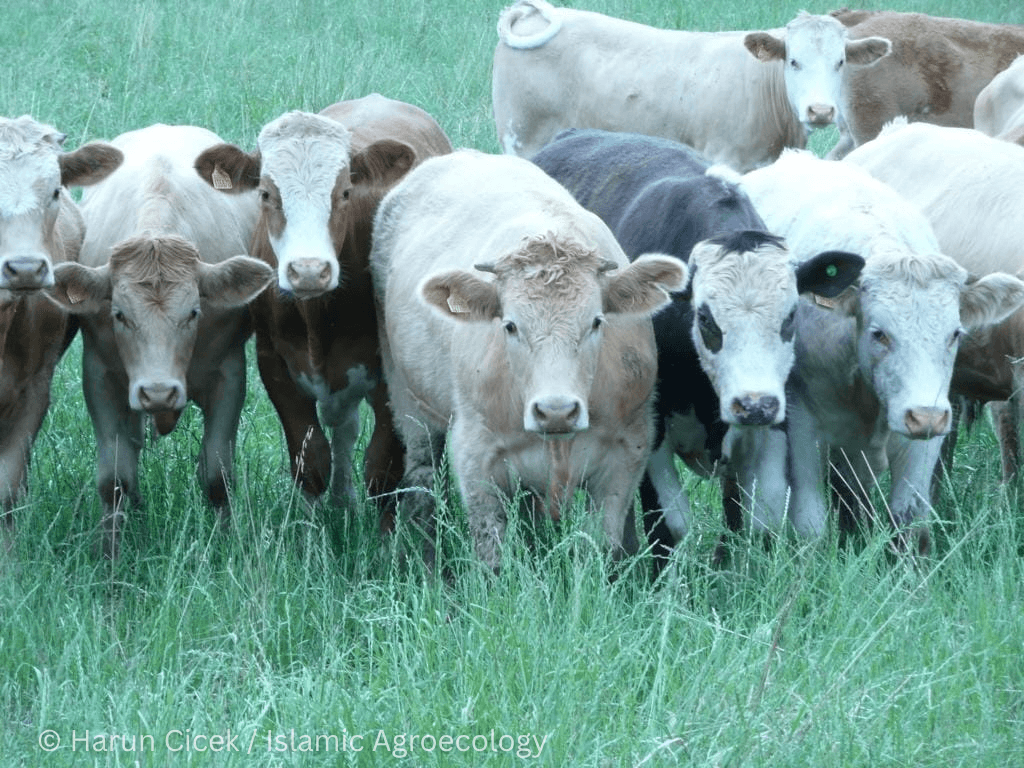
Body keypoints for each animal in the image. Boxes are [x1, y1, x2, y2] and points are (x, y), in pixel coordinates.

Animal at [48, 124, 273, 558]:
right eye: (119, 314)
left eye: (194, 312)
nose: (158, 392)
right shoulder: (100, 376)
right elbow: (114, 476)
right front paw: (110, 555)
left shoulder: (229, 374)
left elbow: (217, 473)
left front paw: (227, 542)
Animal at [195, 94, 453, 526]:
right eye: (266, 193)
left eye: (345, 192)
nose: (309, 271)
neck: (316, 316)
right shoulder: (274, 363)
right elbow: (311, 461)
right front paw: (311, 533)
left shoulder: (389, 375)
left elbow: (382, 470)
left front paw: (385, 539)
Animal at [370, 149, 687, 570]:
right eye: (510, 325)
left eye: (596, 322)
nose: (556, 411)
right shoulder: (475, 456)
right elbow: (492, 556)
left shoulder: (627, 453)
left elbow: (599, 548)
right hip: (408, 401)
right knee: (422, 480)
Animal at [492, 1, 890, 171]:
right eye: (794, 61)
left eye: (840, 62)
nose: (820, 111)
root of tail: (528, 13)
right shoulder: (724, 159)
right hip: (522, 139)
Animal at [530, 129, 863, 561]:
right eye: (704, 318)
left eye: (791, 316)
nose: (754, 405)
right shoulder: (647, 431)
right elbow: (670, 524)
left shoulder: (774, 425)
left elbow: (762, 518)